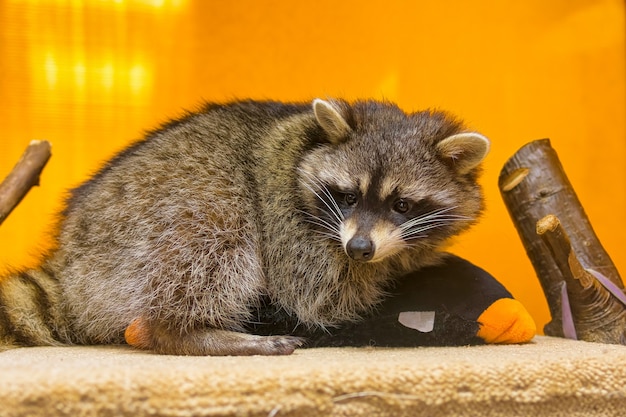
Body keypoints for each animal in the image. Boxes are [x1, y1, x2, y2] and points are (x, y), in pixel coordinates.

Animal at [0, 97, 488, 354]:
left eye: (402, 204)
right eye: (348, 196)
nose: (360, 249)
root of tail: (69, 261)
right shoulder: (286, 221)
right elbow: (319, 297)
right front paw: (390, 271)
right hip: (157, 219)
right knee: (215, 235)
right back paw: (189, 332)